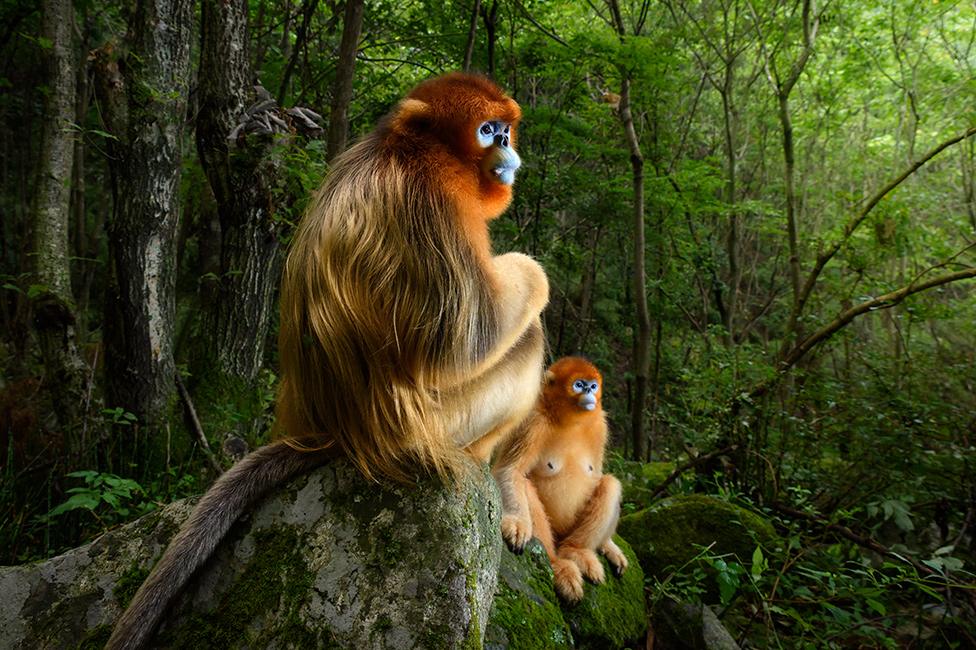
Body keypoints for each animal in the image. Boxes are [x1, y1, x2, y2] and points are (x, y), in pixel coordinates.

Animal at [108, 73, 548, 648]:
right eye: (486, 130)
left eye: (504, 128)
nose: (507, 147)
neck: (405, 149)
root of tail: (332, 433)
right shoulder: (434, 198)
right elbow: (466, 340)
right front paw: (532, 271)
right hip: (439, 422)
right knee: (526, 337)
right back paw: (479, 460)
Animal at [496, 356, 624, 600]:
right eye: (579, 385)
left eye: (593, 385)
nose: (589, 392)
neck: (571, 421)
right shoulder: (533, 422)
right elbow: (509, 471)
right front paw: (517, 523)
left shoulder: (600, 425)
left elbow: (597, 475)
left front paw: (609, 545)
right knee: (525, 485)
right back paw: (558, 565)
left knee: (610, 484)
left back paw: (577, 552)